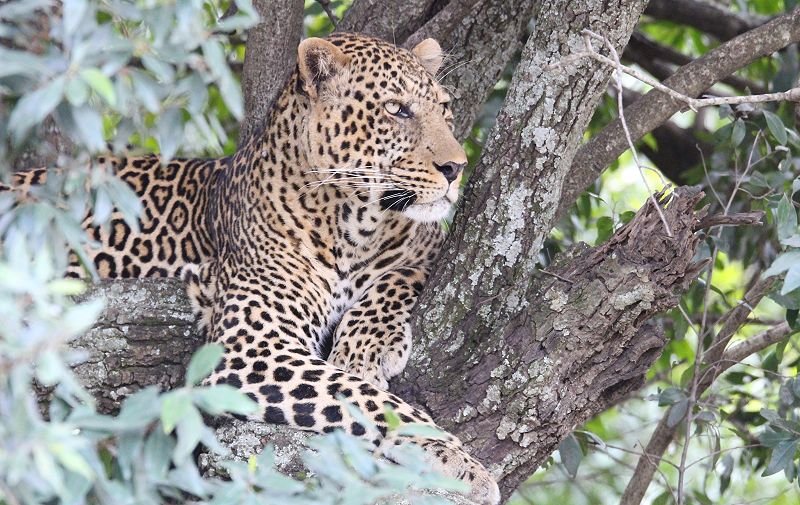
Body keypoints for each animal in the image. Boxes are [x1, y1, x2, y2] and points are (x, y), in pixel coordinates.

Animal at [6, 33, 504, 502]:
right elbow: (359, 396)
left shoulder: (426, 244)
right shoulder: (251, 349)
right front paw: (455, 459)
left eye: (444, 110)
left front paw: (364, 350)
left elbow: (397, 277)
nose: (456, 167)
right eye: (397, 109)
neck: (354, 224)